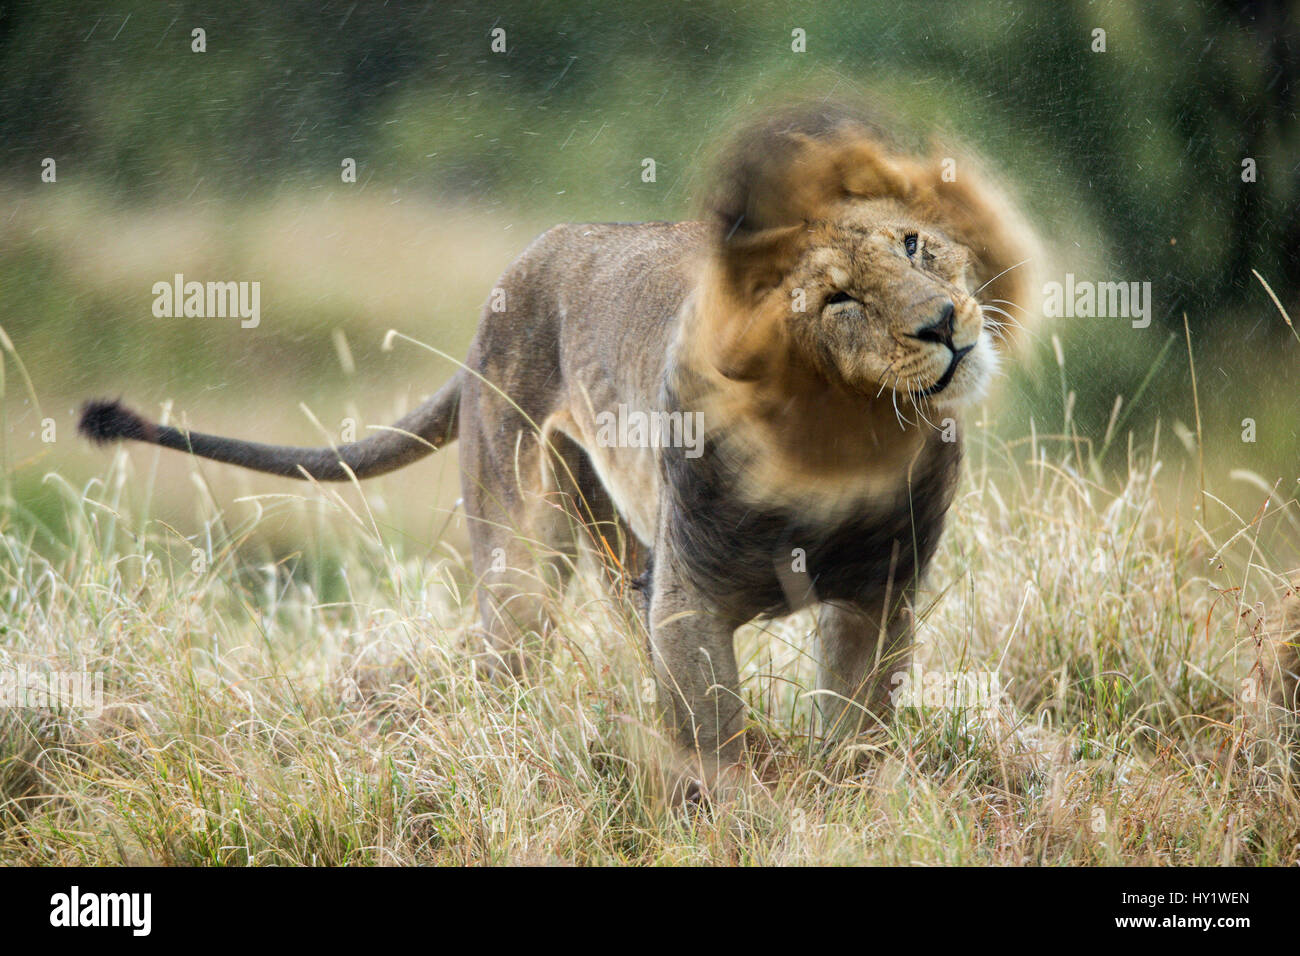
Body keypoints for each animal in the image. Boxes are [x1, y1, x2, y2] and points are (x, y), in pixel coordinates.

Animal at [78, 100, 1034, 796]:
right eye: (838, 301)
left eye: (913, 243)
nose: (944, 323)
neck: (838, 448)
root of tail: (512, 278)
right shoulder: (692, 601)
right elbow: (715, 737)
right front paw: (744, 811)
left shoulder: (877, 594)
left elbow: (857, 730)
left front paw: (846, 799)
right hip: (521, 553)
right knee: (509, 657)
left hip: (616, 541)